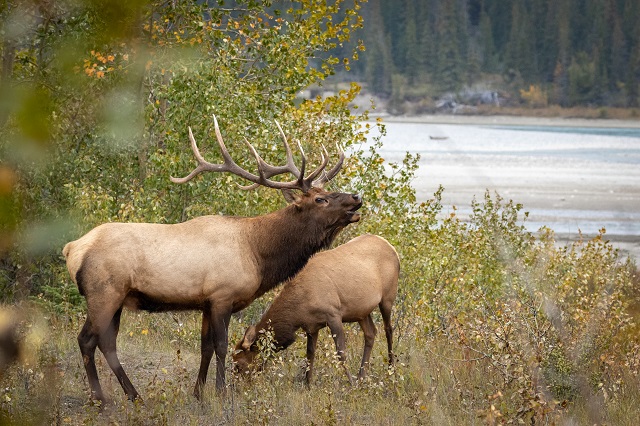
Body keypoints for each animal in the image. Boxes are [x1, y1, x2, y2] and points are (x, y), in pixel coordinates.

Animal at [62, 115, 362, 402]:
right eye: (320, 199)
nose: (356, 197)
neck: (257, 254)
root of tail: (72, 248)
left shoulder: (206, 302)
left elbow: (205, 347)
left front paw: (198, 393)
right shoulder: (222, 295)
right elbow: (221, 346)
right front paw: (221, 392)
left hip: (117, 298)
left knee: (106, 343)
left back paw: (132, 395)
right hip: (104, 292)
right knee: (87, 339)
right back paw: (103, 398)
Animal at [232, 235, 398, 384]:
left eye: (239, 364)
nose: (236, 387)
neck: (297, 311)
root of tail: (391, 247)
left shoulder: (333, 315)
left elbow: (341, 353)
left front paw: (351, 383)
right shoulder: (311, 326)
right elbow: (310, 354)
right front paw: (307, 384)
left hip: (387, 298)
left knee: (388, 329)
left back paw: (390, 369)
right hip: (361, 312)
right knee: (370, 333)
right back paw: (362, 376)